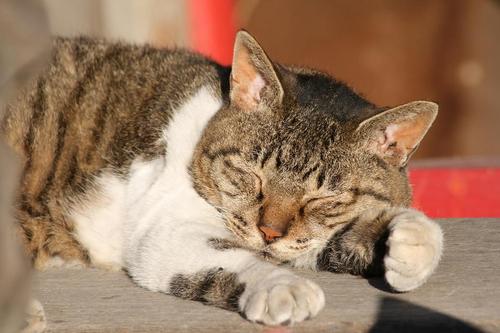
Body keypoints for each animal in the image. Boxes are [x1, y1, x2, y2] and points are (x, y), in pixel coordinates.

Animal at [2, 31, 442, 324]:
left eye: (322, 200)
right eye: (251, 175)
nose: (269, 232)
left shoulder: (303, 239)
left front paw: (410, 238)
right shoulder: (165, 225)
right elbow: (231, 255)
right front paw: (281, 286)